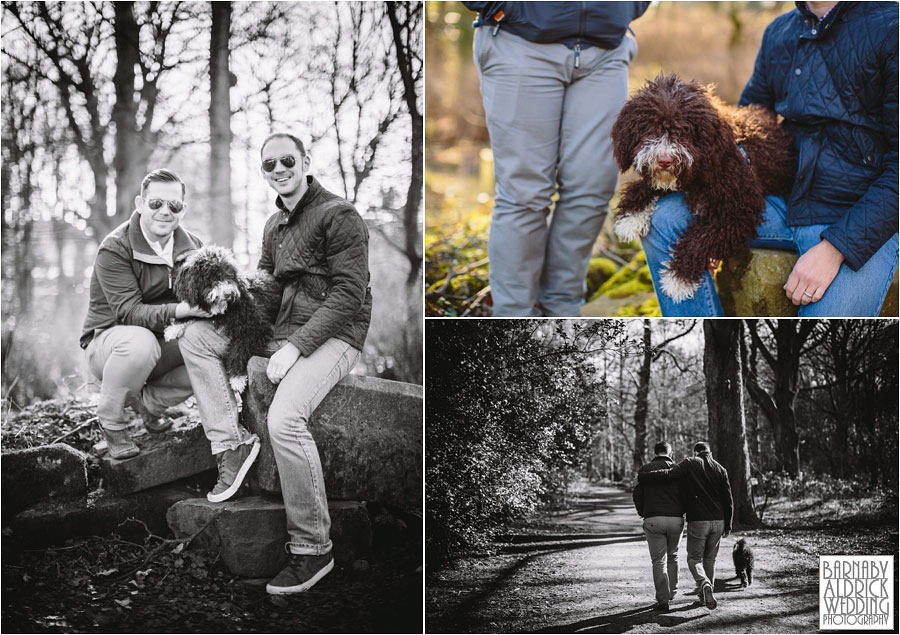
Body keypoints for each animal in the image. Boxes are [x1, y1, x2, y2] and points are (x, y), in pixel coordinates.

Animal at [163, 247, 280, 392]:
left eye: (229, 275)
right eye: (211, 276)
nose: (229, 294)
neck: (226, 310)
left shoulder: (257, 328)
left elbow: (239, 348)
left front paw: (236, 377)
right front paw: (173, 328)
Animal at [612, 73, 796, 302]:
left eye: (683, 131)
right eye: (650, 128)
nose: (664, 161)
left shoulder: (738, 211)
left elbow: (699, 239)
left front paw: (677, 279)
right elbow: (648, 185)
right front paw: (630, 216)